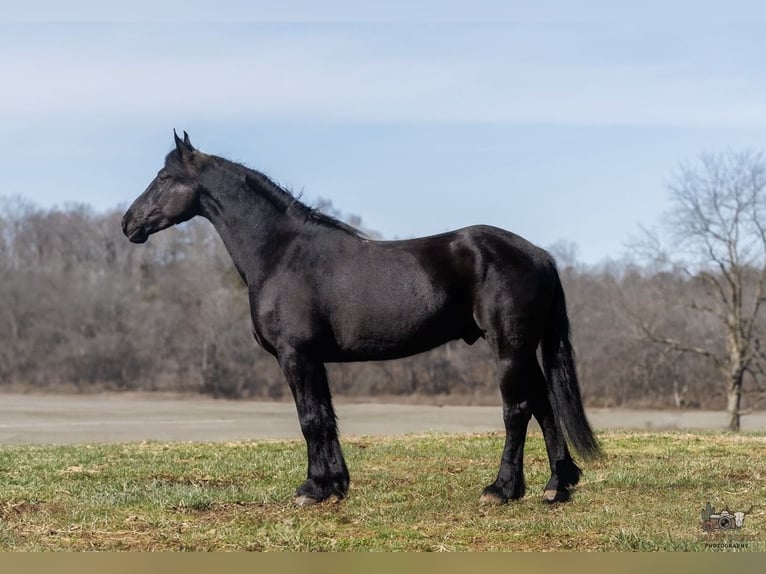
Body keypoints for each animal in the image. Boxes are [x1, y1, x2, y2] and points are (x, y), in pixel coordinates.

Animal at [121, 130, 601, 506]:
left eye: (164, 178)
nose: (128, 223)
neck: (281, 253)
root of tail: (539, 254)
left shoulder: (296, 356)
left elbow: (310, 419)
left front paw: (312, 489)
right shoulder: (314, 359)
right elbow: (326, 417)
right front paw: (334, 485)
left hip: (508, 348)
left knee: (517, 410)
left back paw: (501, 489)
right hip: (522, 349)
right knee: (543, 405)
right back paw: (556, 485)